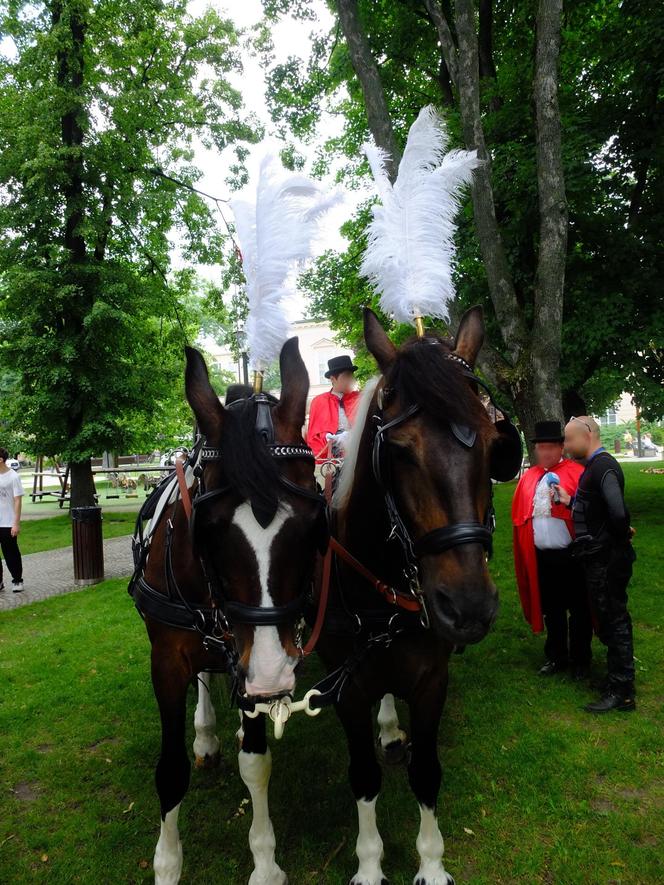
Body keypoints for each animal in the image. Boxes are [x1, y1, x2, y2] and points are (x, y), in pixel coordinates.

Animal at [128, 338, 322, 884]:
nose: (274, 674)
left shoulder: (253, 663)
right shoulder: (167, 661)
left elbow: (255, 762)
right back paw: (207, 734)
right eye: (208, 529)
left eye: (313, 524)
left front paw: (265, 862)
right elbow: (170, 771)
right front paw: (167, 864)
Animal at [318, 306, 524, 884]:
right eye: (400, 450)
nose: (469, 607)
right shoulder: (346, 690)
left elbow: (427, 771)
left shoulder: (432, 679)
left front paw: (431, 863)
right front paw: (369, 865)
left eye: (493, 443)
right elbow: (363, 777)